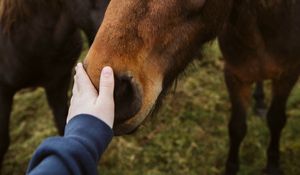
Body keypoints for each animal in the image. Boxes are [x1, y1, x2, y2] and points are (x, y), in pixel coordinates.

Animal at [85, 0, 300, 175]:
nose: (114, 91)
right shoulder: (235, 76)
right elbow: (237, 127)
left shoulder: (288, 76)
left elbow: (276, 120)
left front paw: (273, 166)